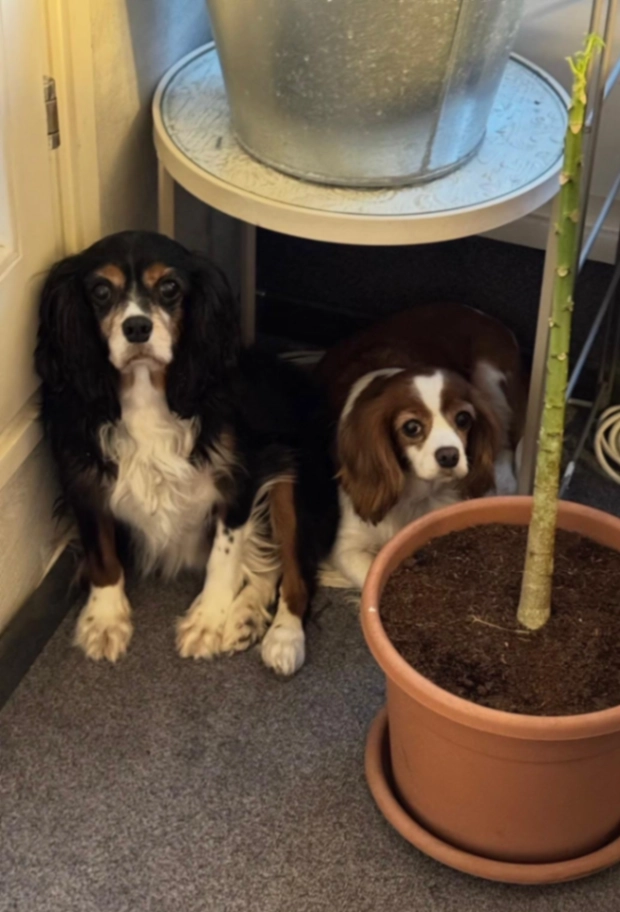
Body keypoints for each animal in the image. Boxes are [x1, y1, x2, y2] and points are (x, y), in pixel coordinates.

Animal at [35, 231, 337, 673]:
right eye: (101, 291)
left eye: (170, 287)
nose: (137, 326)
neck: (146, 390)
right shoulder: (83, 476)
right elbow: (101, 553)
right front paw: (105, 621)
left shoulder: (239, 474)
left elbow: (224, 556)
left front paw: (208, 621)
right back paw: (246, 618)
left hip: (291, 472)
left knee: (295, 575)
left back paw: (281, 638)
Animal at [315, 304, 526, 589]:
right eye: (411, 427)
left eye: (463, 419)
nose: (449, 456)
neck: (415, 494)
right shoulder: (346, 545)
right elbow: (371, 576)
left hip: (491, 378)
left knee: (504, 444)